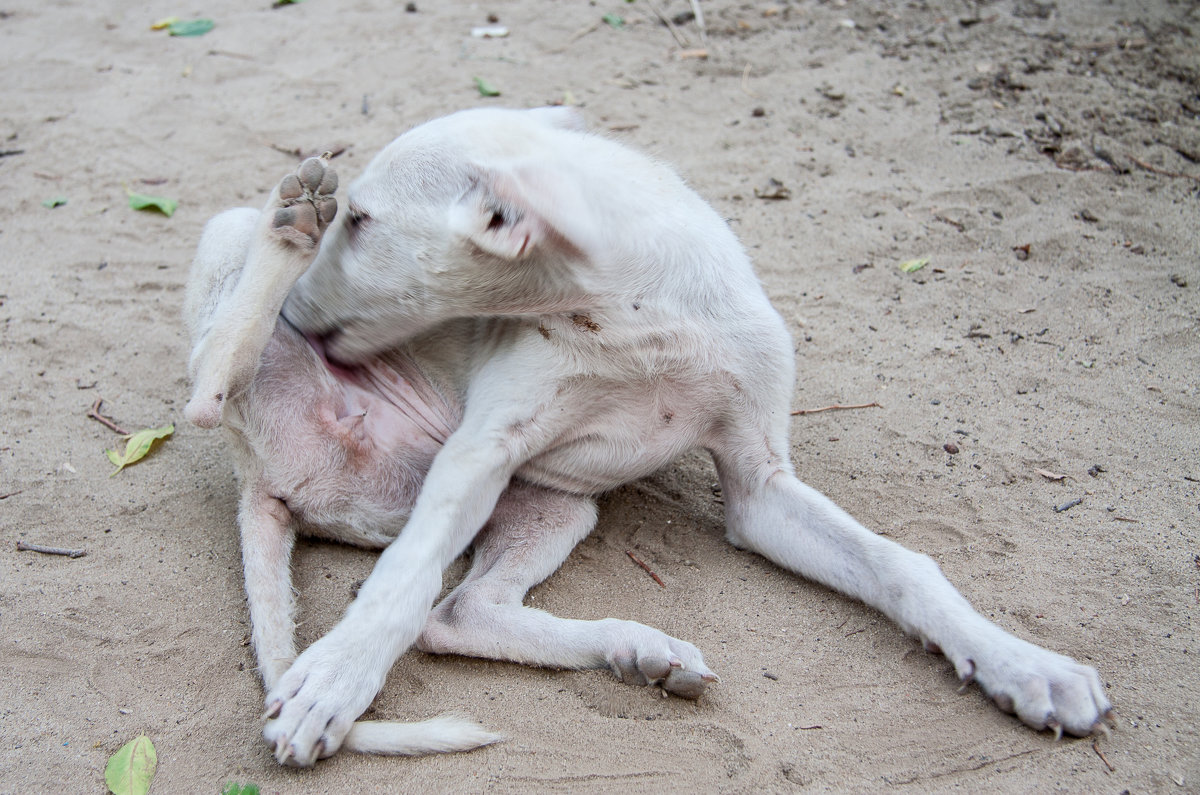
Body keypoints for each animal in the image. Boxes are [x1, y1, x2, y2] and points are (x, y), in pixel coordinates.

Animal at [182, 105, 1108, 768]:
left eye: (367, 221)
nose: (301, 311)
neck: (640, 316)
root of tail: (257, 478)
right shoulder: (478, 453)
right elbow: (399, 581)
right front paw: (336, 678)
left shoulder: (760, 485)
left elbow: (900, 564)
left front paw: (1026, 666)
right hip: (228, 254)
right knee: (205, 387)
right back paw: (286, 223)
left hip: (555, 507)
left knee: (462, 612)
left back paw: (638, 650)